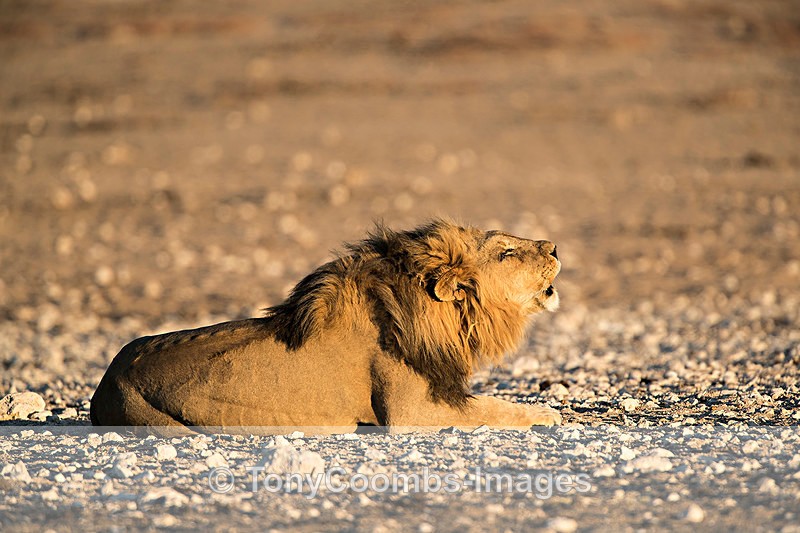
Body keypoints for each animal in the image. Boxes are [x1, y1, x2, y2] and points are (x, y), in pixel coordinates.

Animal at [90, 220, 562, 433]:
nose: (556, 246)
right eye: (505, 252)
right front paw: (547, 413)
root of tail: (105, 383)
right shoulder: (411, 410)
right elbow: (496, 408)